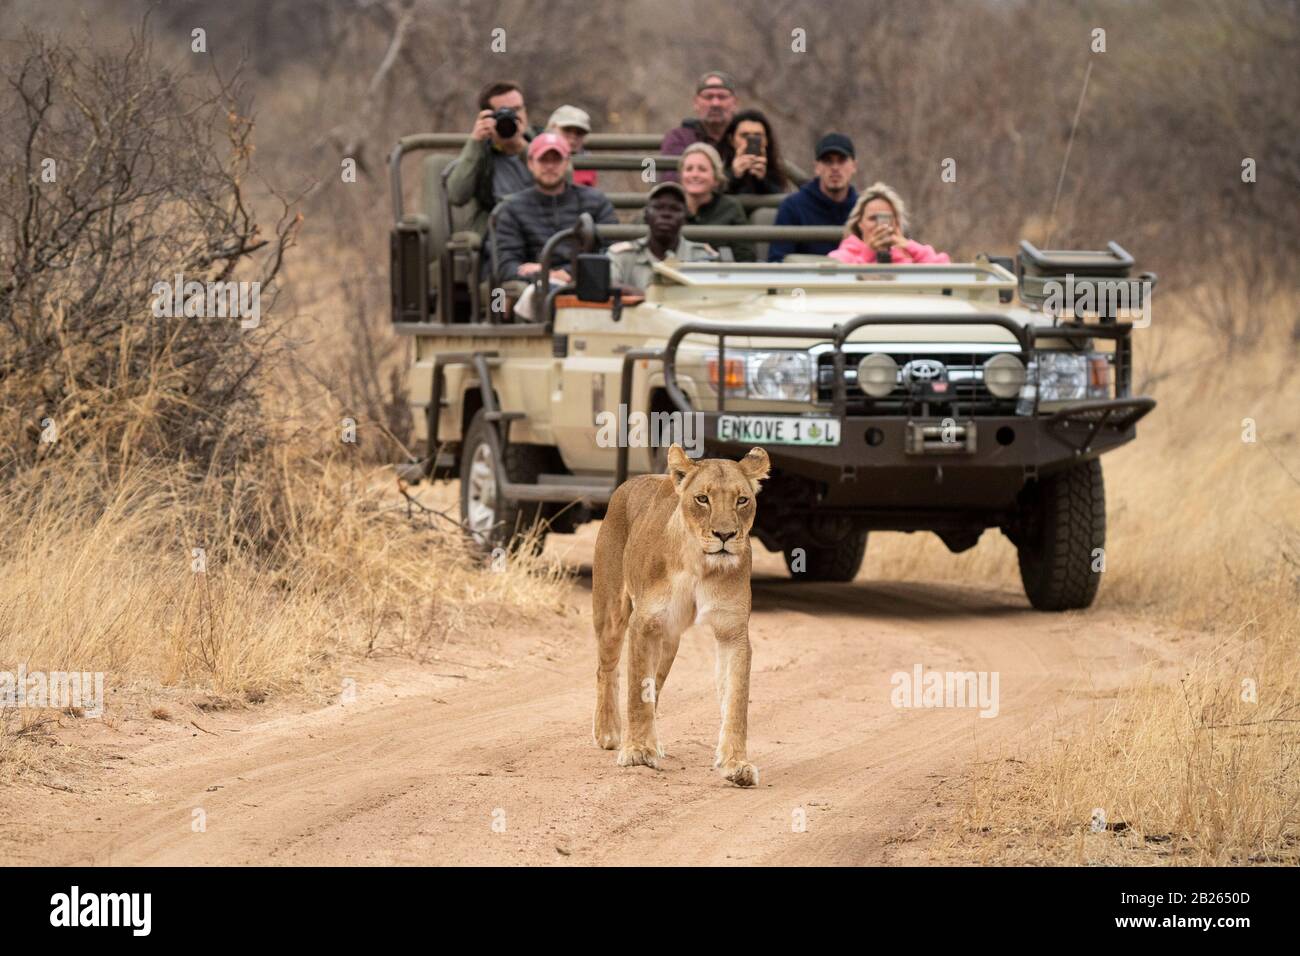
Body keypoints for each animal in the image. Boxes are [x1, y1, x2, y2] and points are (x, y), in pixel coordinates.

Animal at [591, 443, 770, 787]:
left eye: (742, 500)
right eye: (703, 498)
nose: (725, 535)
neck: (701, 564)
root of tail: (631, 482)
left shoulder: (733, 631)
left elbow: (736, 700)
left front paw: (736, 764)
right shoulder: (644, 623)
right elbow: (637, 691)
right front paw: (637, 751)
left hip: (669, 641)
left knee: (655, 687)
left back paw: (653, 742)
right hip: (611, 614)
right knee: (606, 670)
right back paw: (608, 732)